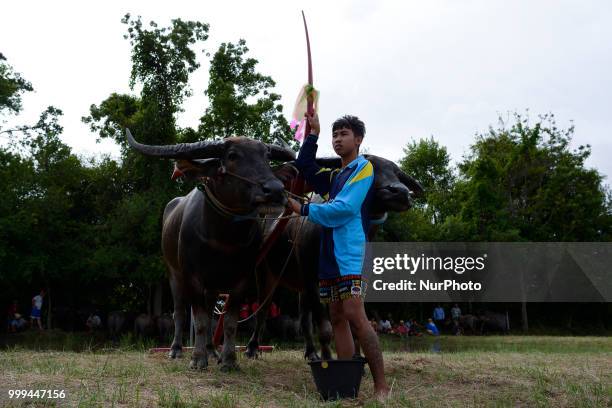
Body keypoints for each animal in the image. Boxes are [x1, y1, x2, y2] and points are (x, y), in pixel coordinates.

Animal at [125, 129, 296, 372]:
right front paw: (197, 358)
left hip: (213, 286)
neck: (222, 239)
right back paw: (176, 349)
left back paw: (212, 350)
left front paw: (229, 359)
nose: (275, 190)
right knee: (179, 312)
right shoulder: (192, 277)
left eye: (267, 156)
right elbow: (200, 320)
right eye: (232, 156)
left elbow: (229, 322)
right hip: (174, 274)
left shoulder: (242, 279)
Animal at [246, 155, 424, 358]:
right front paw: (328, 358)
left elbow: (353, 325)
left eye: (398, 174)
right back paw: (252, 349)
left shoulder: (357, 283)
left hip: (301, 286)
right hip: (264, 272)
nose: (400, 192)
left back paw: (311, 352)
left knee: (304, 320)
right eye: (372, 167)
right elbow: (325, 328)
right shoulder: (313, 282)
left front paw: (356, 356)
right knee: (262, 310)